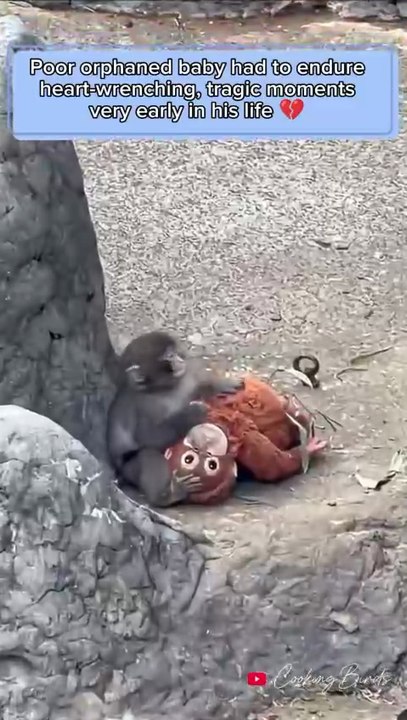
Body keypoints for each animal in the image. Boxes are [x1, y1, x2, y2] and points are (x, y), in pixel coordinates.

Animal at [107, 330, 244, 507]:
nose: (180, 359)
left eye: (173, 352)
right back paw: (167, 495)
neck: (162, 389)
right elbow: (148, 437)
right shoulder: (143, 406)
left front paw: (219, 384)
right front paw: (191, 414)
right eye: (169, 356)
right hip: (128, 467)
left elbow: (196, 389)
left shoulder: (184, 381)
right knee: (146, 454)